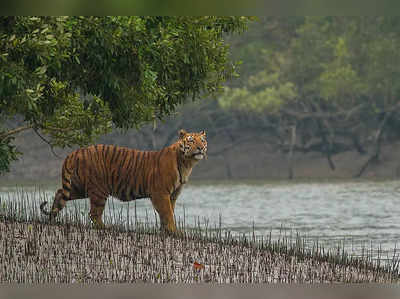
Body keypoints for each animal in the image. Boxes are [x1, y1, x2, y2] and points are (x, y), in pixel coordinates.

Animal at [41, 130, 208, 233]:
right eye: (191, 141)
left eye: (202, 140)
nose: (200, 148)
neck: (187, 163)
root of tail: (76, 151)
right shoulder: (160, 193)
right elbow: (167, 213)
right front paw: (174, 231)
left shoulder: (172, 195)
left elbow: (168, 213)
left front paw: (165, 231)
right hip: (99, 190)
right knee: (94, 214)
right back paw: (107, 227)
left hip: (78, 187)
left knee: (60, 193)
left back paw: (52, 218)